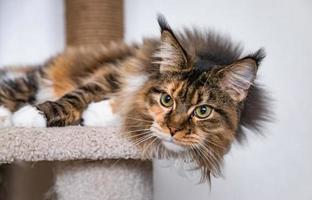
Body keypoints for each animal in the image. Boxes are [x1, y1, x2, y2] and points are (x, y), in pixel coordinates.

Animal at [0, 15, 270, 181]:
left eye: (203, 111)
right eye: (167, 100)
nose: (173, 130)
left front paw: (97, 115)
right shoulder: (115, 72)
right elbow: (78, 96)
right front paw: (36, 114)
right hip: (40, 79)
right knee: (14, 87)